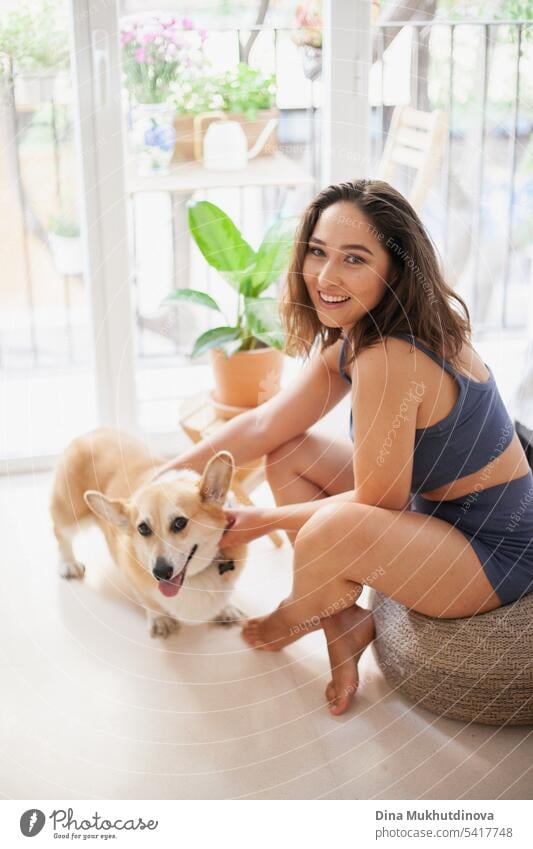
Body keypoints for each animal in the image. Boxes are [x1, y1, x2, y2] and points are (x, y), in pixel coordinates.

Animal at [50, 428, 245, 632]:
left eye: (180, 523)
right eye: (143, 528)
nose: (160, 573)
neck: (193, 580)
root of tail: (91, 433)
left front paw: (226, 609)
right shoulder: (133, 577)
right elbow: (149, 600)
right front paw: (160, 620)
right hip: (71, 516)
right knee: (61, 534)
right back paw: (69, 564)